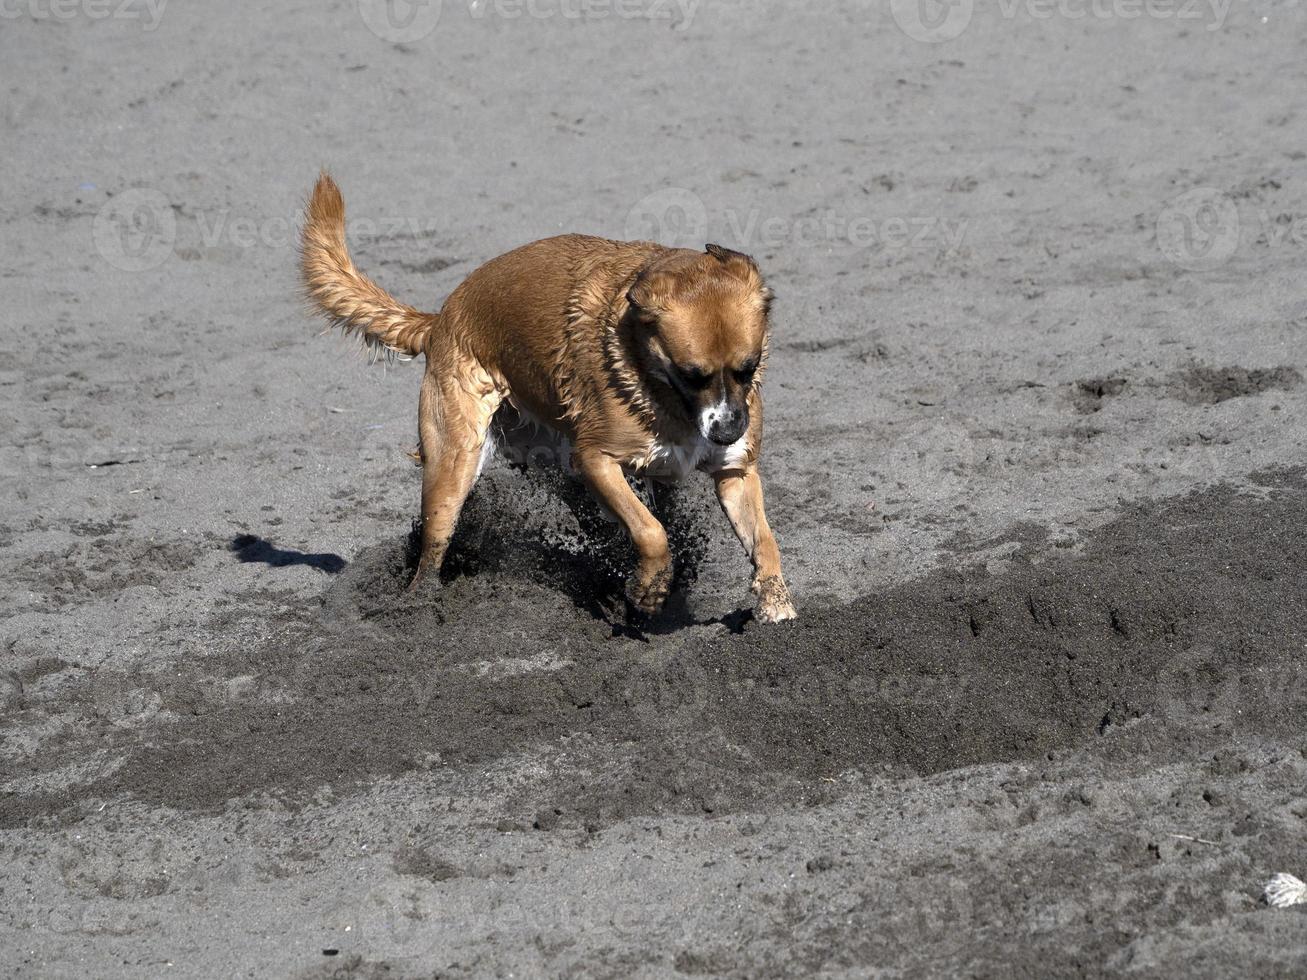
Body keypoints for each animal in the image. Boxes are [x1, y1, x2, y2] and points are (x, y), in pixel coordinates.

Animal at [299, 172, 794, 624]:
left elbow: (764, 540)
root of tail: (440, 320)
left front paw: (775, 602)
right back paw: (416, 604)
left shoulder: (734, 472)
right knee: (432, 549)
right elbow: (651, 532)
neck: (654, 381)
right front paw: (650, 589)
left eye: (748, 369)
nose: (729, 430)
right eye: (692, 375)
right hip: (454, 466)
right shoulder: (596, 458)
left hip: (551, 459)